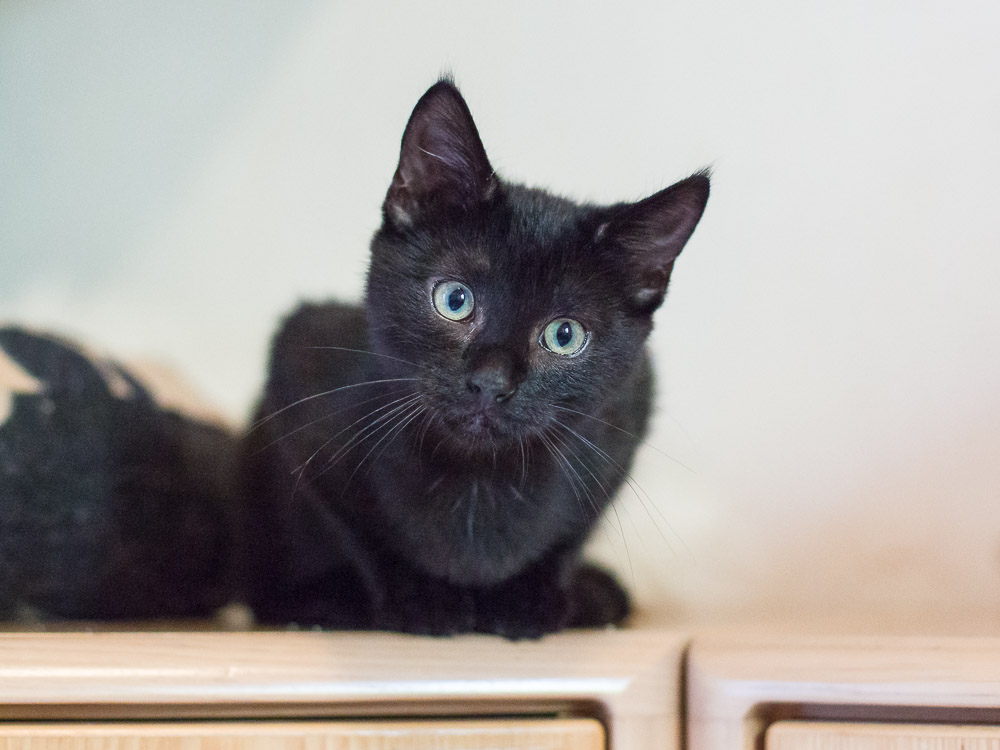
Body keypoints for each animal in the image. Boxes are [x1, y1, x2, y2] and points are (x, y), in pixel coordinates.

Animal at [242, 78, 712, 640]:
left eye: (564, 335)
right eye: (454, 300)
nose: (490, 382)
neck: (478, 481)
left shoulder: (624, 420)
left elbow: (570, 534)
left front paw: (527, 601)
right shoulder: (298, 373)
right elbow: (360, 531)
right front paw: (424, 600)